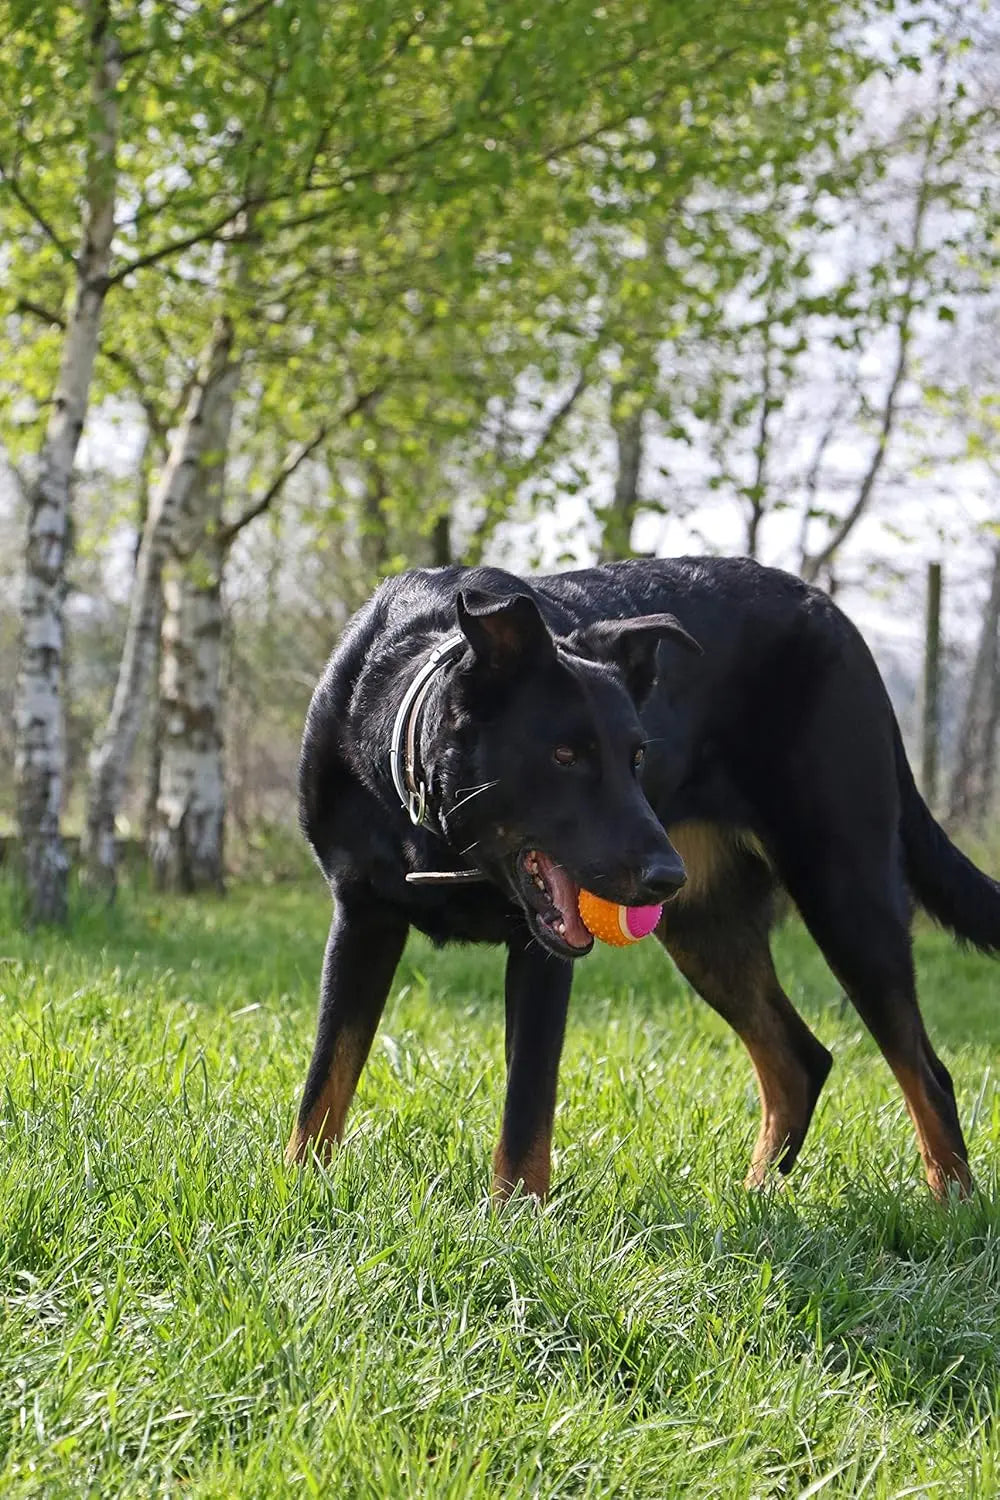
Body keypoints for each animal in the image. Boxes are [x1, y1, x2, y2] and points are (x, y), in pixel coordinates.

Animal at [284, 558, 995, 1200]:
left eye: (637, 757)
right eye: (564, 756)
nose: (664, 875)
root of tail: (834, 615)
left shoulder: (541, 955)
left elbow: (526, 1111)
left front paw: (515, 1227)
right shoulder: (361, 919)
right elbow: (325, 1082)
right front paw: (299, 1195)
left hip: (845, 890)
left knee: (928, 1074)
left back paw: (950, 1208)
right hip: (706, 929)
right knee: (800, 1060)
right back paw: (756, 1196)